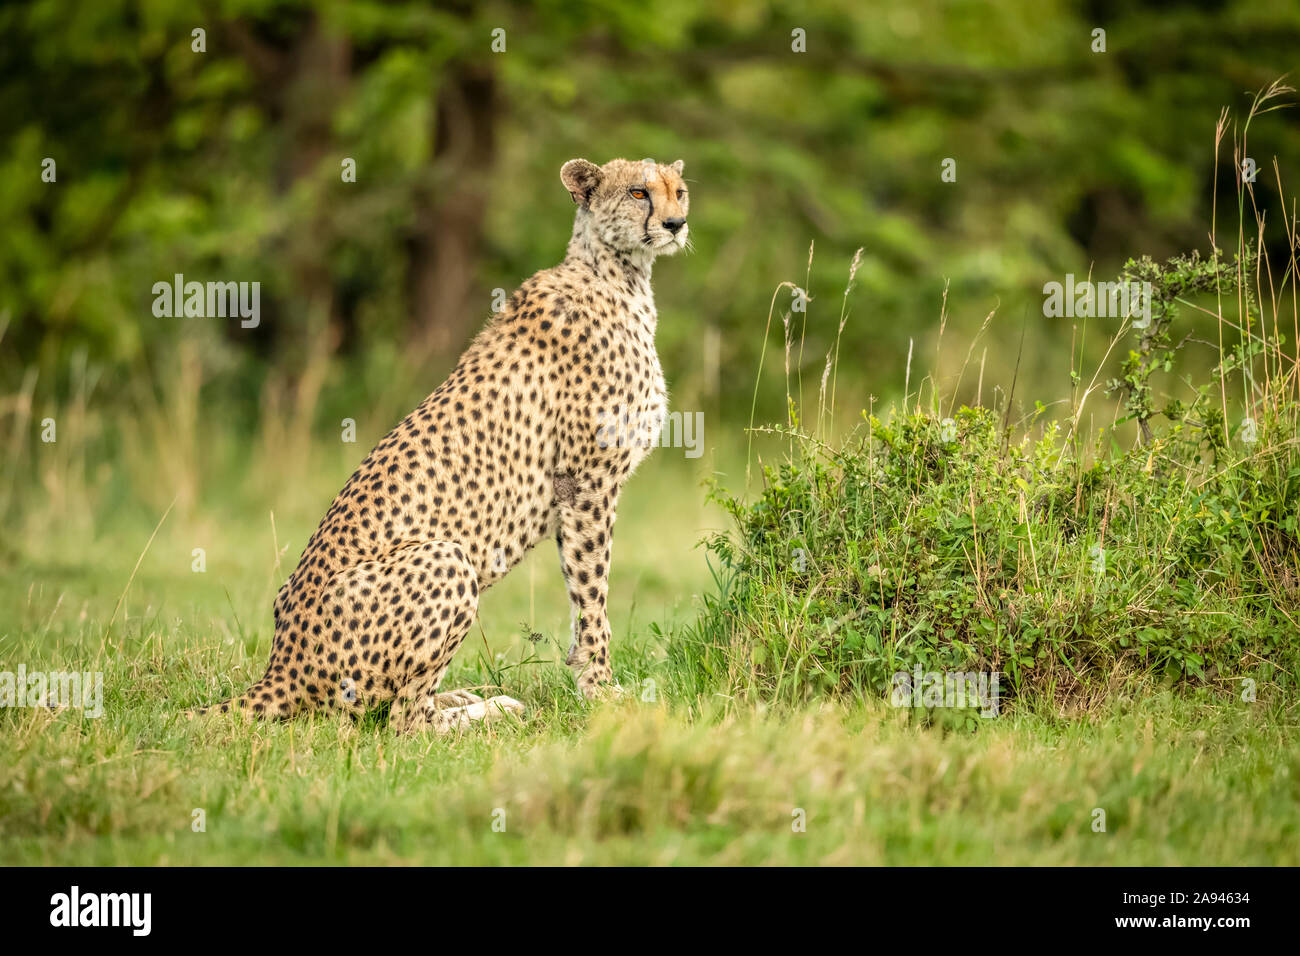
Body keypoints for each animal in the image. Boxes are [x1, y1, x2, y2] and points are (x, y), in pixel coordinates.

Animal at [192, 156, 690, 734]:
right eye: (638, 192)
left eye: (679, 190)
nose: (676, 224)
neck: (620, 273)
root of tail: (280, 666)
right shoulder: (587, 483)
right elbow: (593, 597)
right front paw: (603, 693)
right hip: (449, 557)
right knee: (403, 722)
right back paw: (489, 712)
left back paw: (466, 697)